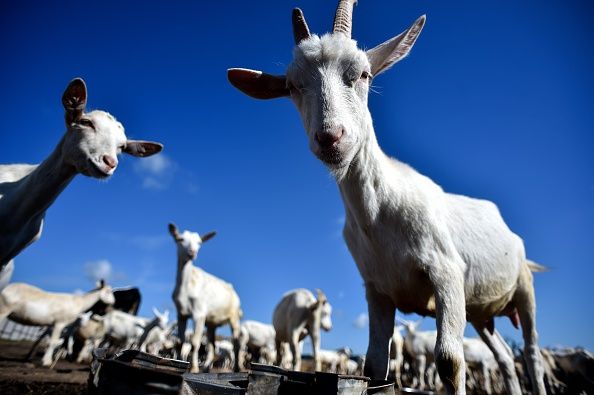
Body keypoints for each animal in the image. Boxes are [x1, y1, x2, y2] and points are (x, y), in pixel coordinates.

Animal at [168, 224, 242, 372]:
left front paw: (193, 368)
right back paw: (207, 367)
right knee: (212, 345)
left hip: (234, 316)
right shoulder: (181, 314)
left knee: (236, 343)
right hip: (212, 323)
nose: (192, 253)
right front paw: (179, 362)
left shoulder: (199, 313)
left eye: (199, 242)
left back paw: (236, 367)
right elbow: (180, 342)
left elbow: (195, 342)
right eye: (180, 239)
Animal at [227, 1, 544, 394]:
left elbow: (449, 359)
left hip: (523, 286)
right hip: (481, 312)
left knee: (531, 353)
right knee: (504, 357)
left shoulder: (447, 272)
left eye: (363, 74)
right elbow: (375, 363)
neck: (381, 208)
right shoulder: (377, 290)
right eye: (292, 86)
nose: (331, 137)